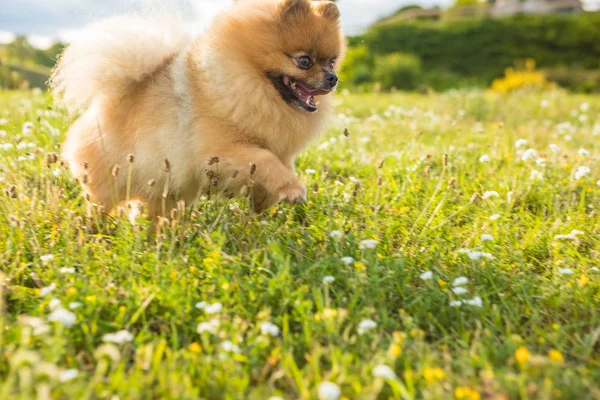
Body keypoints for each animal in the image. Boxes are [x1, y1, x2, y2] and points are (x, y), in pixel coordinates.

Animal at [51, 0, 344, 216]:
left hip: (161, 188)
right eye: (304, 61)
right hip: (113, 178)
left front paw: (264, 201)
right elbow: (266, 161)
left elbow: (278, 167)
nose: (333, 78)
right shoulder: (223, 151)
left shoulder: (278, 151)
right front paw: (293, 189)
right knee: (100, 204)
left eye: (331, 61)